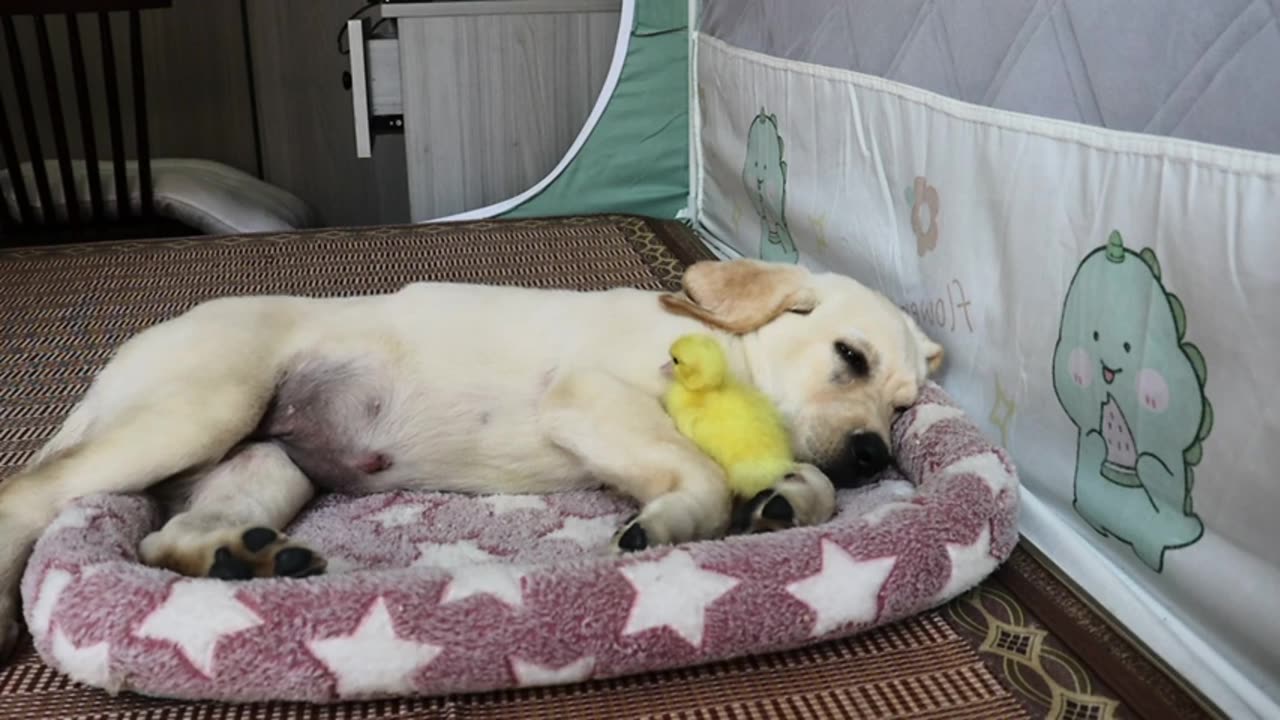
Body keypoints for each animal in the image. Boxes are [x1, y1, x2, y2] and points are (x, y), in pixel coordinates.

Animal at [0, 256, 942, 655]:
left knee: (169, 538)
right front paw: (673, 521)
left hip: (265, 462)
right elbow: (701, 472)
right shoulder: (591, 396)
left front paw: (784, 498)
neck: (727, 352)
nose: (873, 455)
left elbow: (803, 480)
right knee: (28, 493)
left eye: (904, 409)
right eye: (849, 356)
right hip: (198, 408)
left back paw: (246, 557)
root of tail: (119, 357)